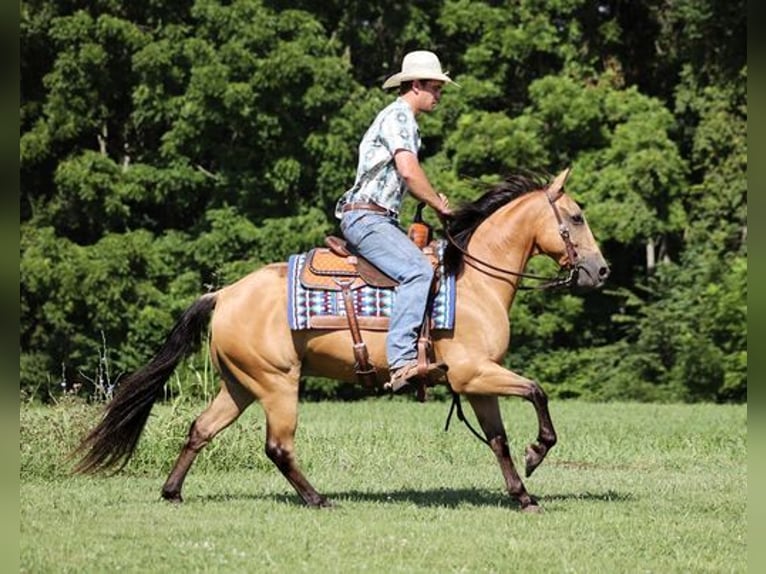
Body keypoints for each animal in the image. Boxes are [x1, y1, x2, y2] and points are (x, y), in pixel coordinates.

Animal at [72, 169, 612, 516]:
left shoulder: (477, 384)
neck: (474, 281)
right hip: (278, 384)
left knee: (200, 430)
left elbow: (498, 440)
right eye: (576, 217)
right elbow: (538, 391)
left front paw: (523, 496)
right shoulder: (473, 373)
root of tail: (223, 293)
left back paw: (172, 492)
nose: (601, 270)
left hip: (240, 384)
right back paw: (317, 499)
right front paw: (538, 453)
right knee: (278, 447)